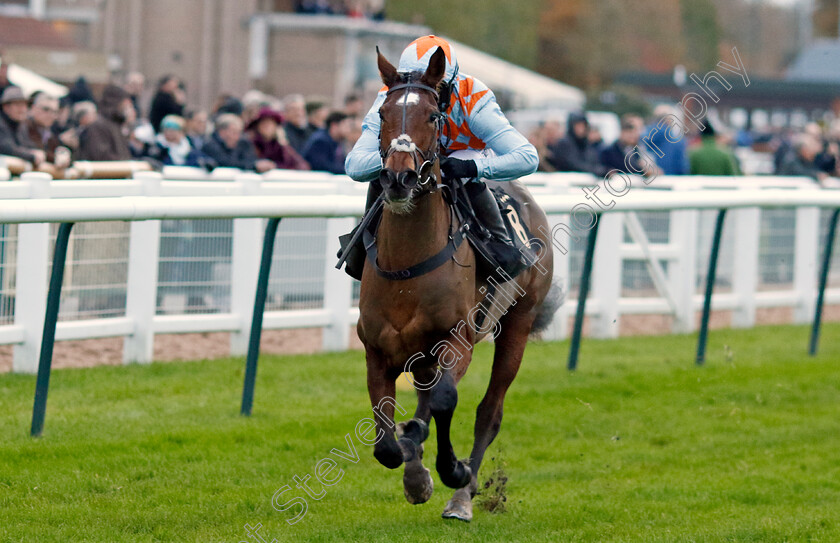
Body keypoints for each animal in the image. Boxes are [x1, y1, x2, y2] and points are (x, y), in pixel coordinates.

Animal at [354, 47, 556, 524]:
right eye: (383, 114)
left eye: (431, 115)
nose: (399, 178)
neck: (407, 268)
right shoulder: (376, 350)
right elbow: (386, 440)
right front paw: (414, 472)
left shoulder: (457, 339)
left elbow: (445, 402)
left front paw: (453, 471)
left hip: (518, 324)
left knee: (489, 411)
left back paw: (463, 497)